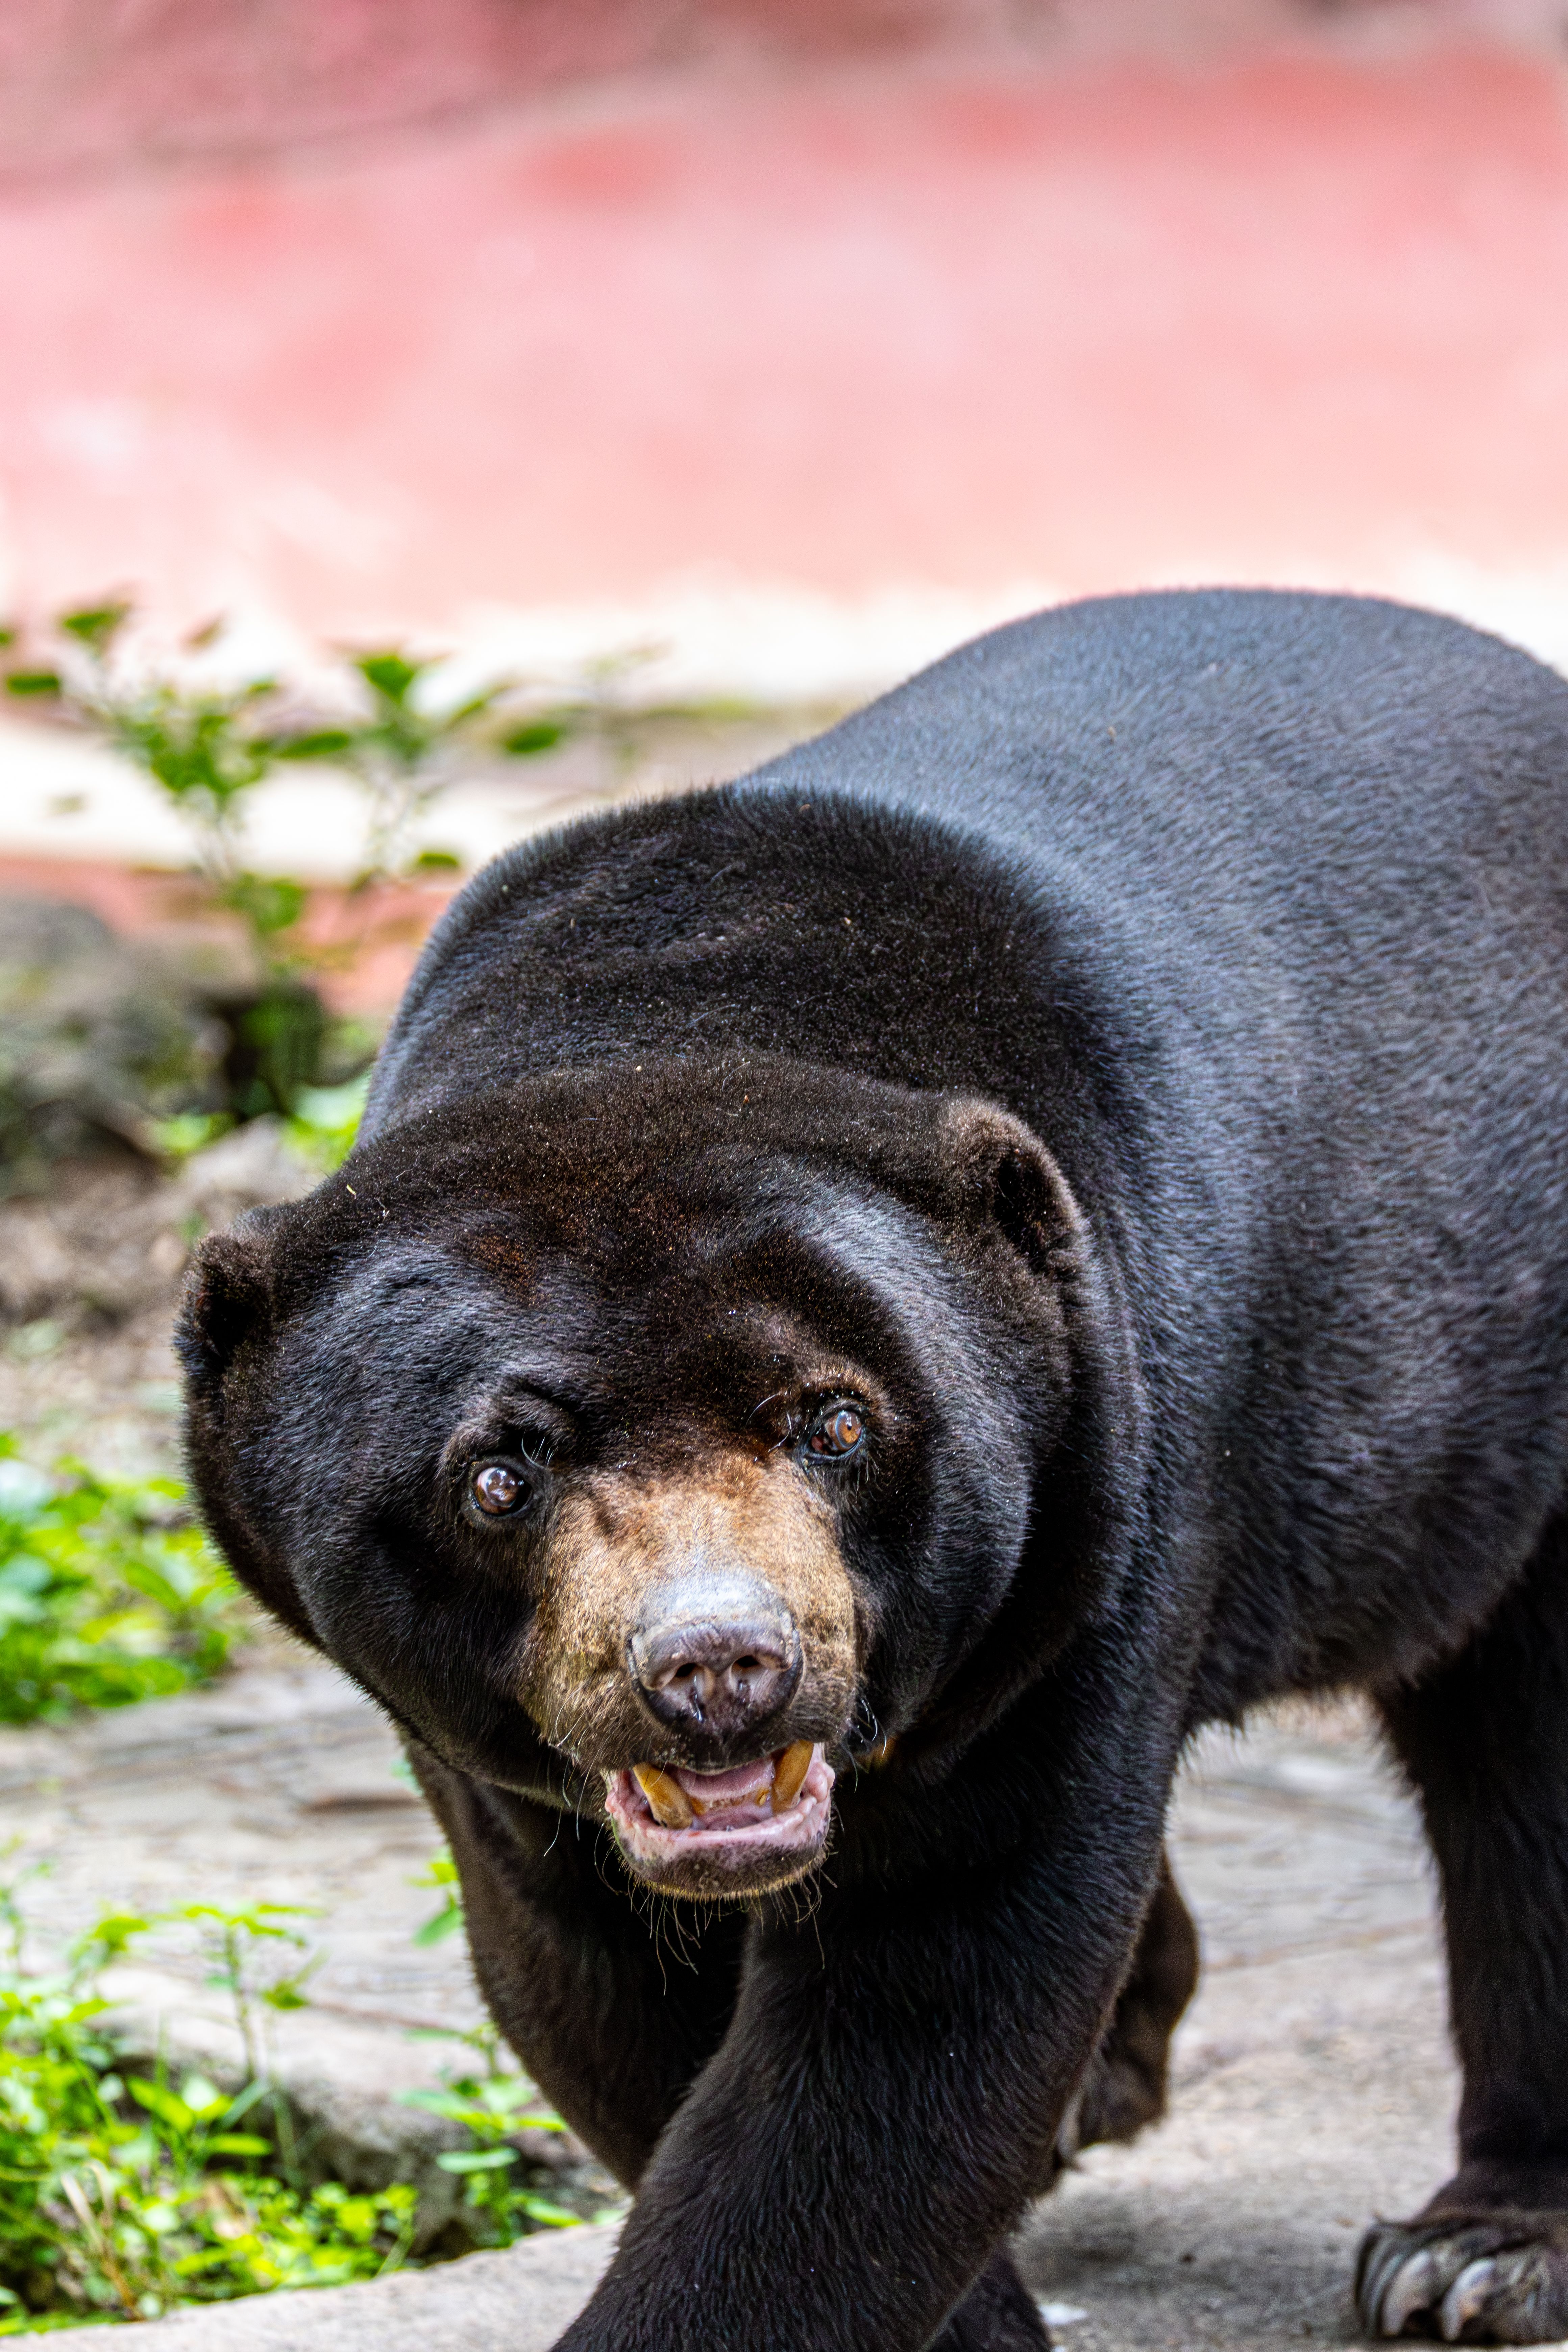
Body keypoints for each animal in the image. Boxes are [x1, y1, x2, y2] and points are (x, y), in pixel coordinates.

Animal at [177, 587, 1568, 2349]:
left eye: (833, 1423)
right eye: (499, 1471)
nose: (719, 1668)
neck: (688, 999)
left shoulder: (1088, 1523)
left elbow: (925, 2015)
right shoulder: (480, 1738)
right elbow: (603, 1983)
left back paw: (1477, 2250)